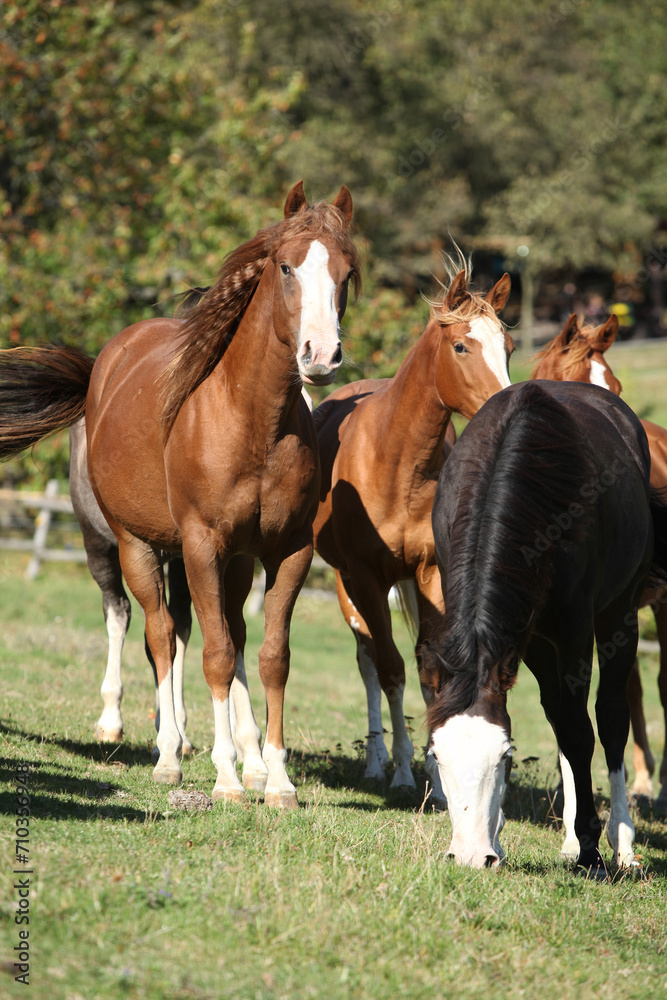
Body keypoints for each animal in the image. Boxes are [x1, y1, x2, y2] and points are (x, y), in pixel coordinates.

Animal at [0, 180, 360, 807]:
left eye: (346, 272)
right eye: (286, 267)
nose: (321, 356)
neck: (252, 423)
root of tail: (106, 362)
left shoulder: (287, 552)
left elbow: (270, 657)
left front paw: (276, 778)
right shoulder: (200, 546)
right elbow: (213, 655)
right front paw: (226, 778)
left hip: (228, 562)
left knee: (215, 633)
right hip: (128, 545)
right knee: (155, 631)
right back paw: (164, 752)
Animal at [313, 256, 512, 796]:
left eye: (508, 346)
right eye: (461, 345)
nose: (506, 401)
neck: (396, 459)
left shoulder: (432, 573)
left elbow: (429, 668)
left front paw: (439, 776)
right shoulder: (365, 576)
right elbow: (391, 670)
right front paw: (403, 768)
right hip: (345, 583)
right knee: (367, 660)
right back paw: (378, 759)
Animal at [424, 379, 667, 873]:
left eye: (505, 757)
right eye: (436, 755)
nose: (471, 856)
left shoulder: (575, 627)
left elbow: (581, 729)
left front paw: (593, 850)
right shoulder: (524, 635)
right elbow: (561, 723)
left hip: (619, 615)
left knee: (610, 716)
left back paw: (620, 841)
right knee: (559, 712)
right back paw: (571, 838)